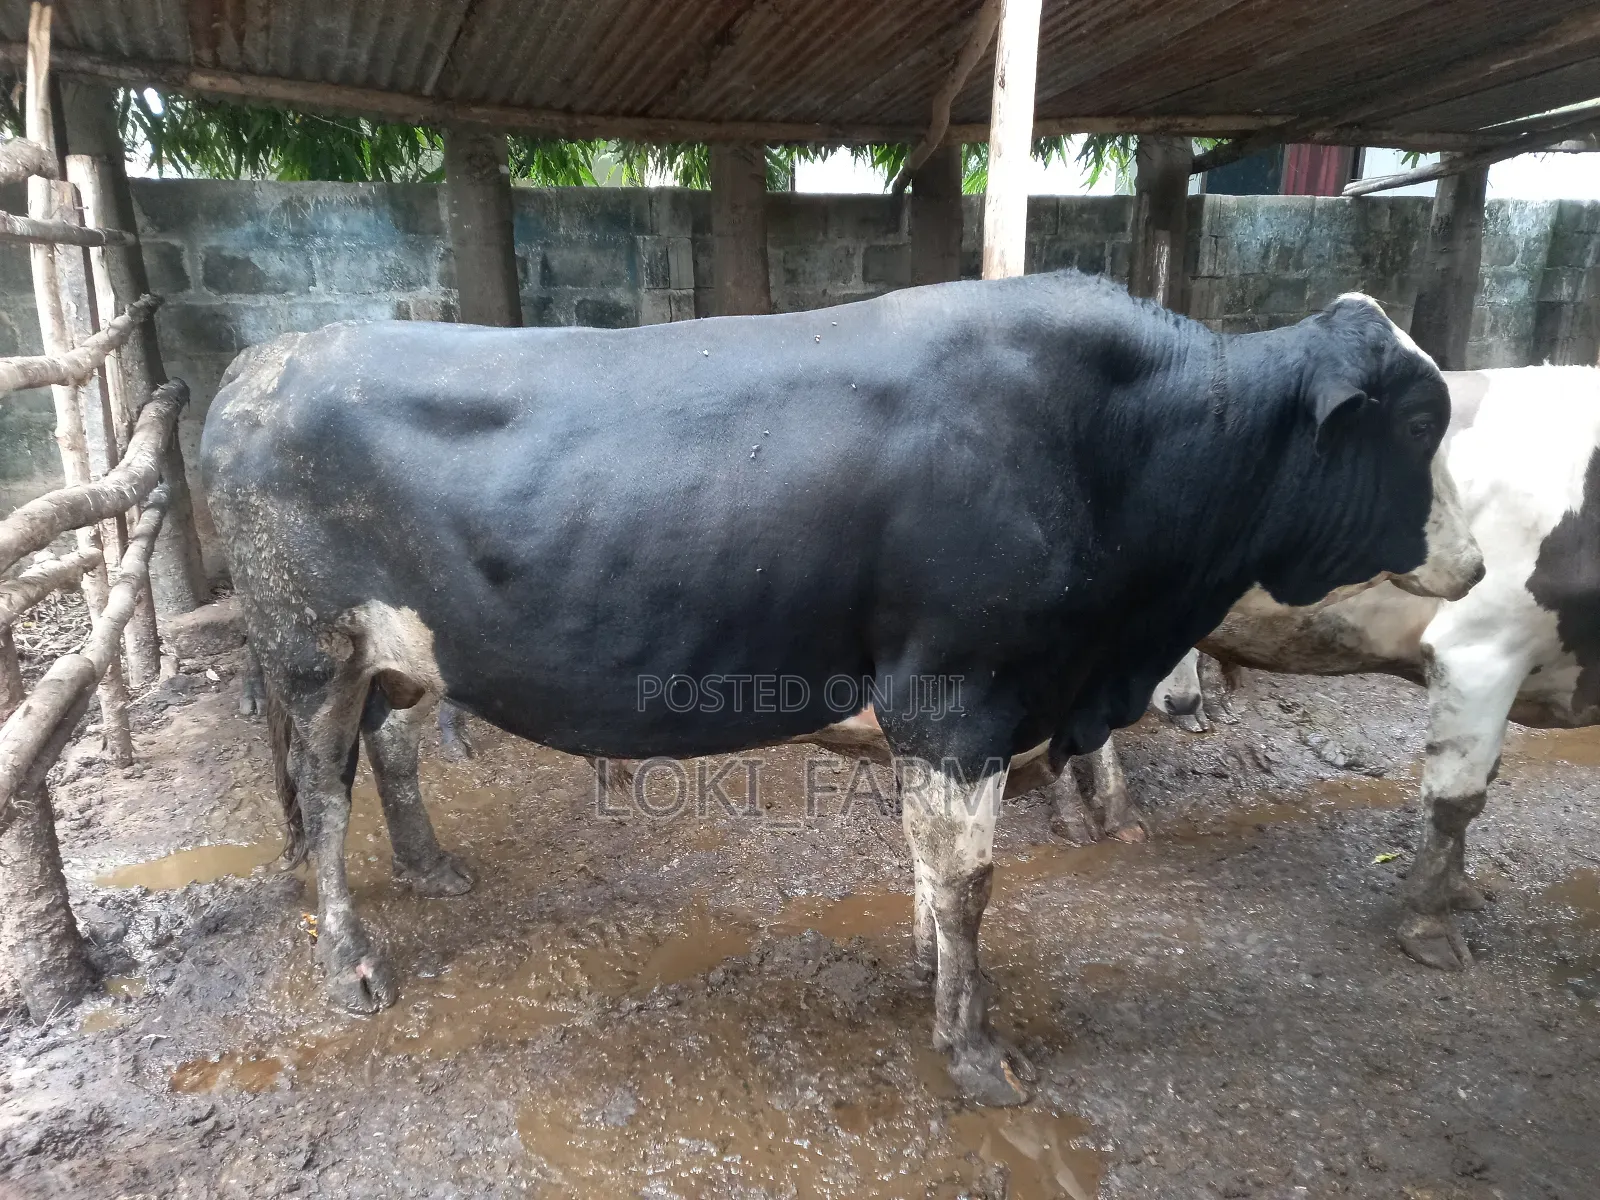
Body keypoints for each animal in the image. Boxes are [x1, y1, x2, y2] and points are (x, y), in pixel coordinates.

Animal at [200, 272, 1481, 1106]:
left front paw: (926, 976)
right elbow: (968, 882)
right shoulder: (962, 696)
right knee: (322, 796)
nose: (1474, 566)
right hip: (309, 652)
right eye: (1419, 419)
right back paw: (350, 959)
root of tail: (258, 361)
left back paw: (429, 865)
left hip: (392, 657)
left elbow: (929, 865)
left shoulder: (957, 715)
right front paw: (972, 1049)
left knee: (390, 752)